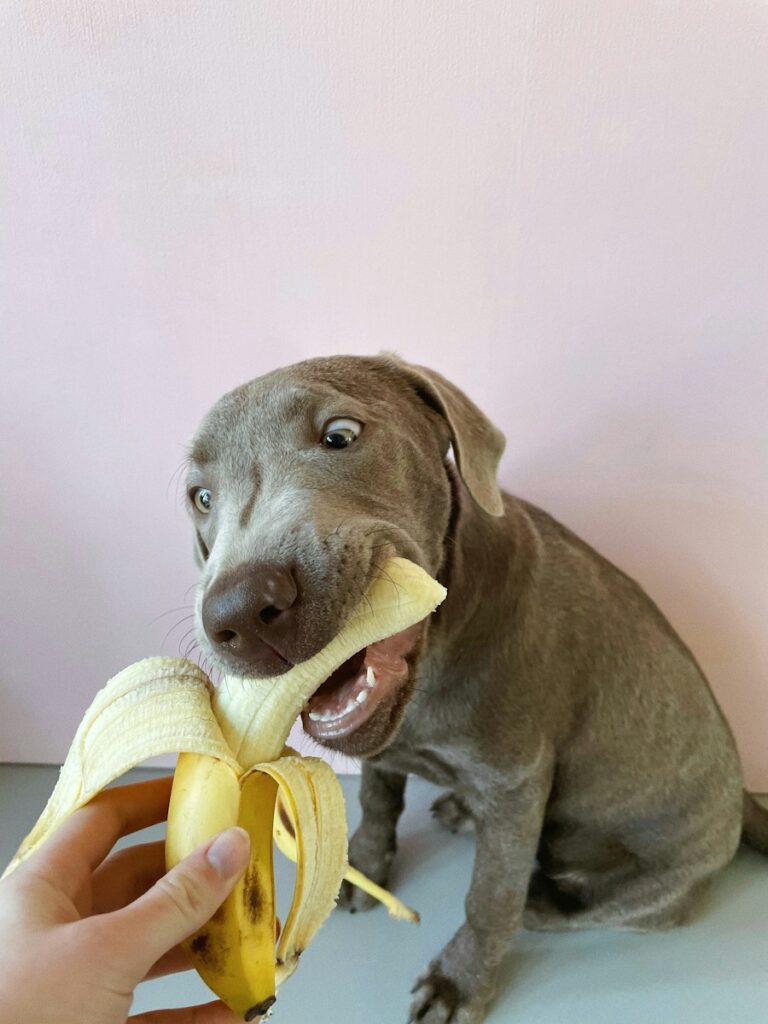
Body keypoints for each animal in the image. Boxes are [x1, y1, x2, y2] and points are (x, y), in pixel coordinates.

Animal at [183, 354, 765, 1024]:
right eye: (201, 498)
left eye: (340, 436)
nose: (241, 613)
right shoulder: (387, 748)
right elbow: (378, 801)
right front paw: (364, 864)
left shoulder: (516, 779)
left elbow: (489, 898)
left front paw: (457, 982)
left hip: (654, 884)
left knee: (577, 906)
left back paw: (540, 898)